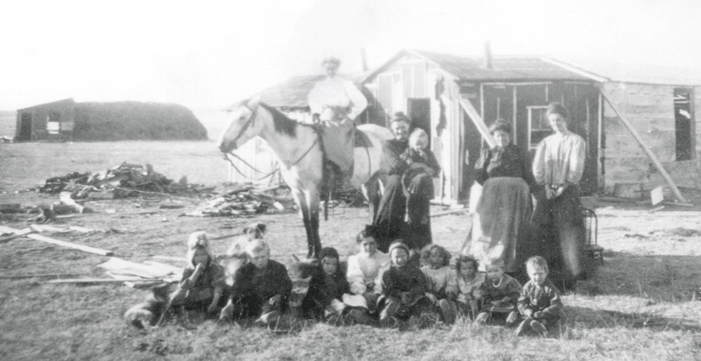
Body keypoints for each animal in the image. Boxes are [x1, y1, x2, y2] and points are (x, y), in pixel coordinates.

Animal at [219, 95, 394, 258]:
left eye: (242, 117)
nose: (222, 145)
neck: (297, 147)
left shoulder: (312, 191)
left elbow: (314, 220)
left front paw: (317, 252)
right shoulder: (297, 191)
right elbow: (305, 220)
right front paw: (310, 252)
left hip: (385, 178)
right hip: (369, 180)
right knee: (374, 205)